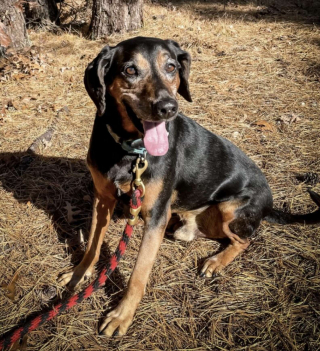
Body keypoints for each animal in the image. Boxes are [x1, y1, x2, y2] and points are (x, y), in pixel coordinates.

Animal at [58, 37, 320, 336]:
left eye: (171, 66)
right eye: (130, 70)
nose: (168, 108)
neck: (130, 151)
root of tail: (270, 205)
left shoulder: (155, 216)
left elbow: (138, 274)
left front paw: (122, 315)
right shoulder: (102, 199)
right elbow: (92, 244)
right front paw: (80, 274)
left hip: (231, 209)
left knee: (244, 241)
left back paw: (216, 262)